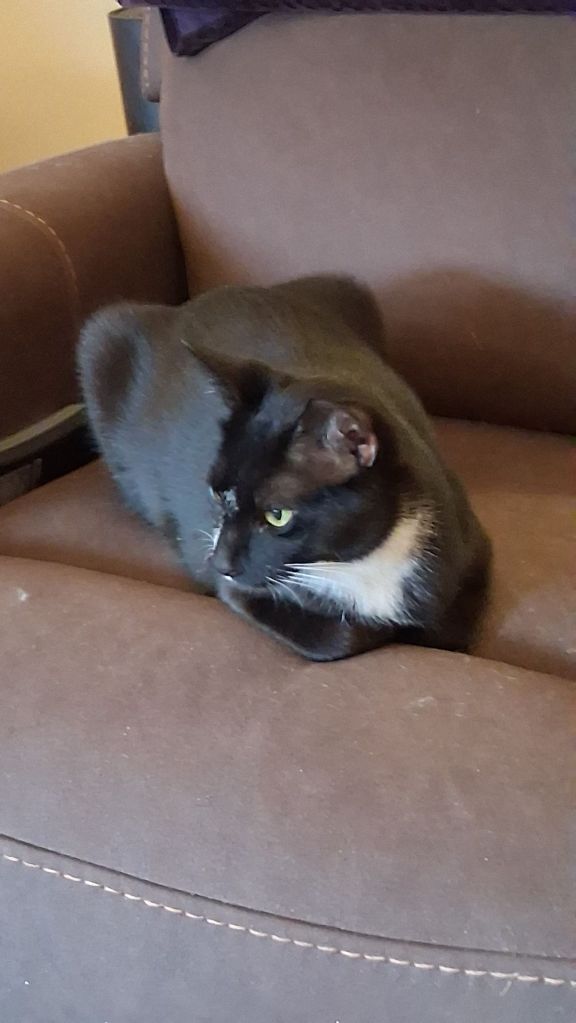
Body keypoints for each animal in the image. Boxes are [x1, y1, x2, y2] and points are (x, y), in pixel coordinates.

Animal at [78, 275, 490, 661]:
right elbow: (339, 638)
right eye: (215, 493)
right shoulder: (243, 588)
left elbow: (450, 627)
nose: (219, 562)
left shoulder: (462, 535)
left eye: (277, 515)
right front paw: (379, 630)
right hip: (100, 337)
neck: (361, 565)